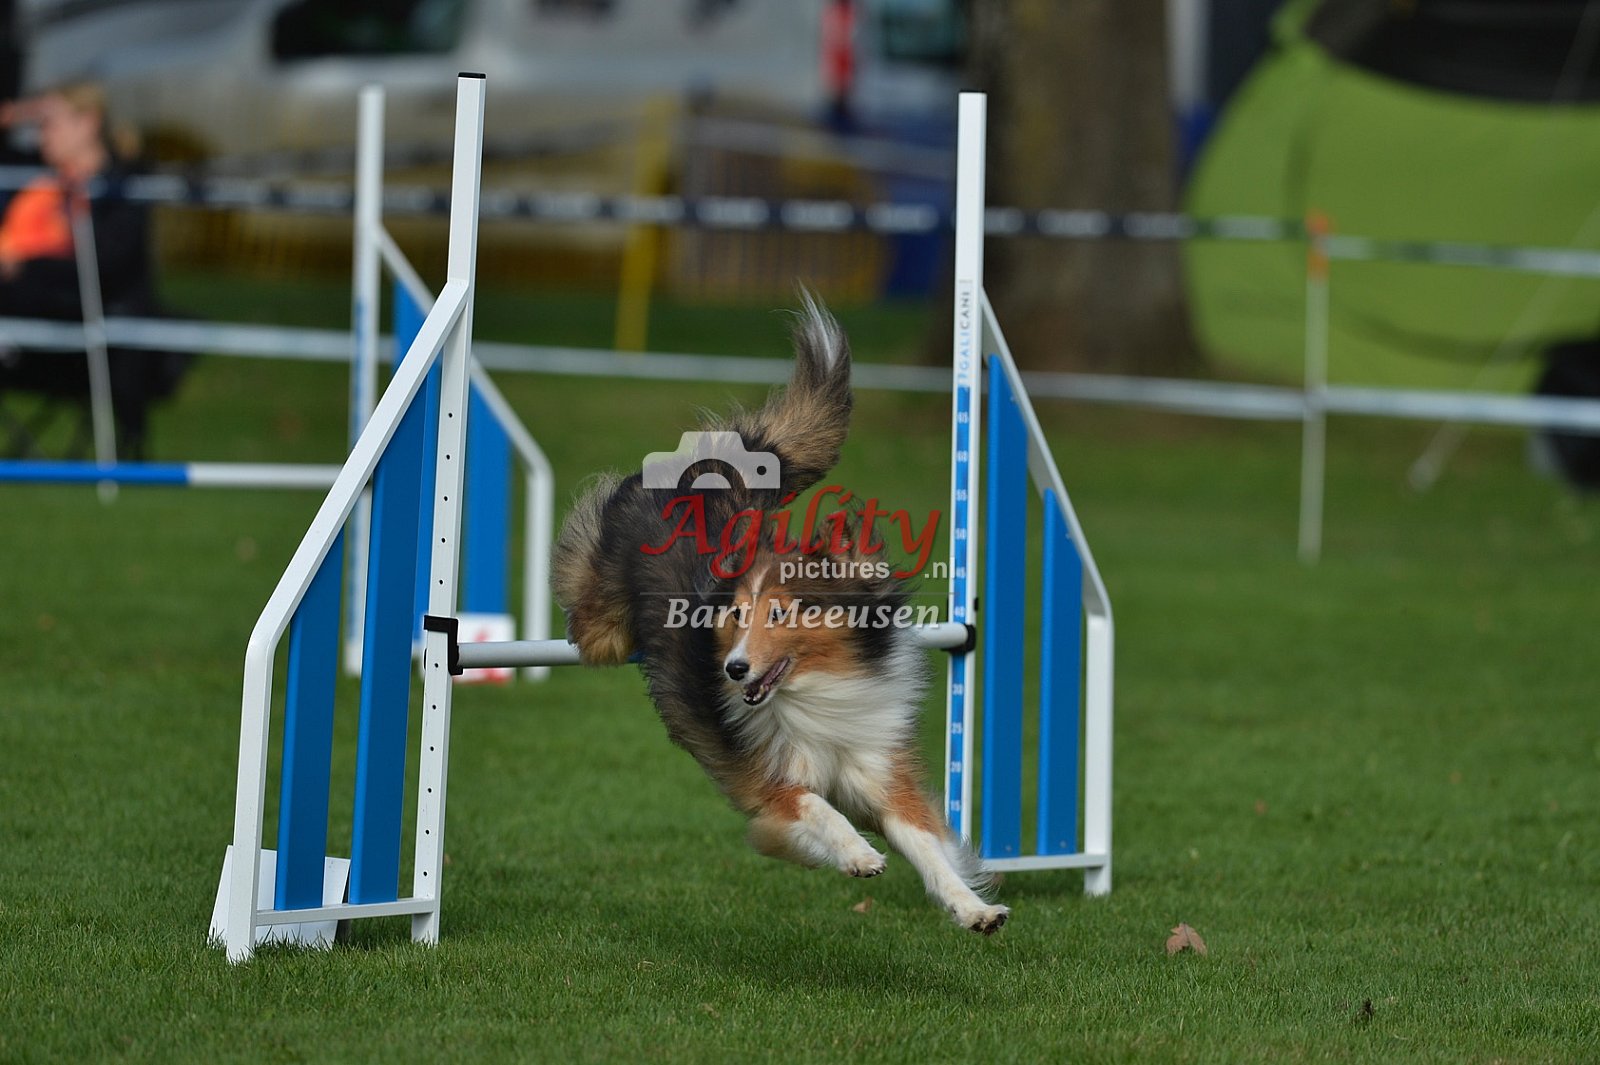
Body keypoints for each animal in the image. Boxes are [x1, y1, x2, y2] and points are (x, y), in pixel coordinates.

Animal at [551, 294, 1008, 934]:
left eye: (782, 614)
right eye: (737, 615)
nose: (734, 670)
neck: (818, 691)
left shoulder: (878, 767)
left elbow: (925, 844)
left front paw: (973, 908)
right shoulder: (767, 783)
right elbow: (815, 806)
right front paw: (858, 854)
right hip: (601, 626)